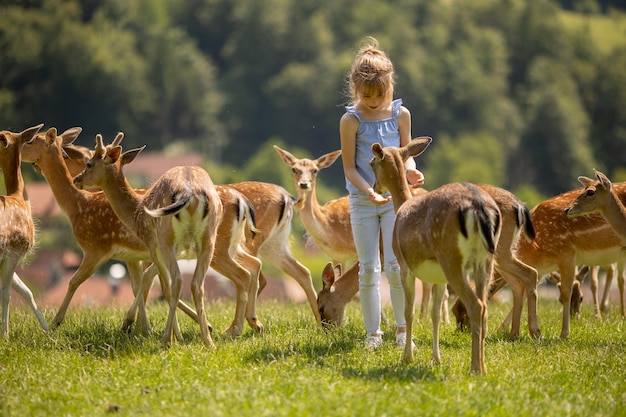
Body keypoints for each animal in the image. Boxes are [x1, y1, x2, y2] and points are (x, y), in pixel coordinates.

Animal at [22, 127, 264, 338]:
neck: (77, 206)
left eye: (32, 141)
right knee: (251, 267)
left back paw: (231, 329)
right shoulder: (134, 255)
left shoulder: (97, 249)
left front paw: (56, 323)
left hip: (213, 247)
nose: (77, 179)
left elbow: (75, 281)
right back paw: (247, 325)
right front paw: (144, 327)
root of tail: (241, 201)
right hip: (221, 245)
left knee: (239, 275)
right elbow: (144, 285)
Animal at [368, 137, 500, 374]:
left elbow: (408, 312)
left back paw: (474, 368)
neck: (402, 205)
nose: (375, 187)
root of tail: (478, 206)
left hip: (451, 258)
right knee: (484, 307)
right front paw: (436, 359)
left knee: (476, 305)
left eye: (372, 162)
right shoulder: (439, 278)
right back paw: (483, 367)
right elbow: (435, 314)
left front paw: (407, 357)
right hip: (485, 261)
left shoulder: (405, 266)